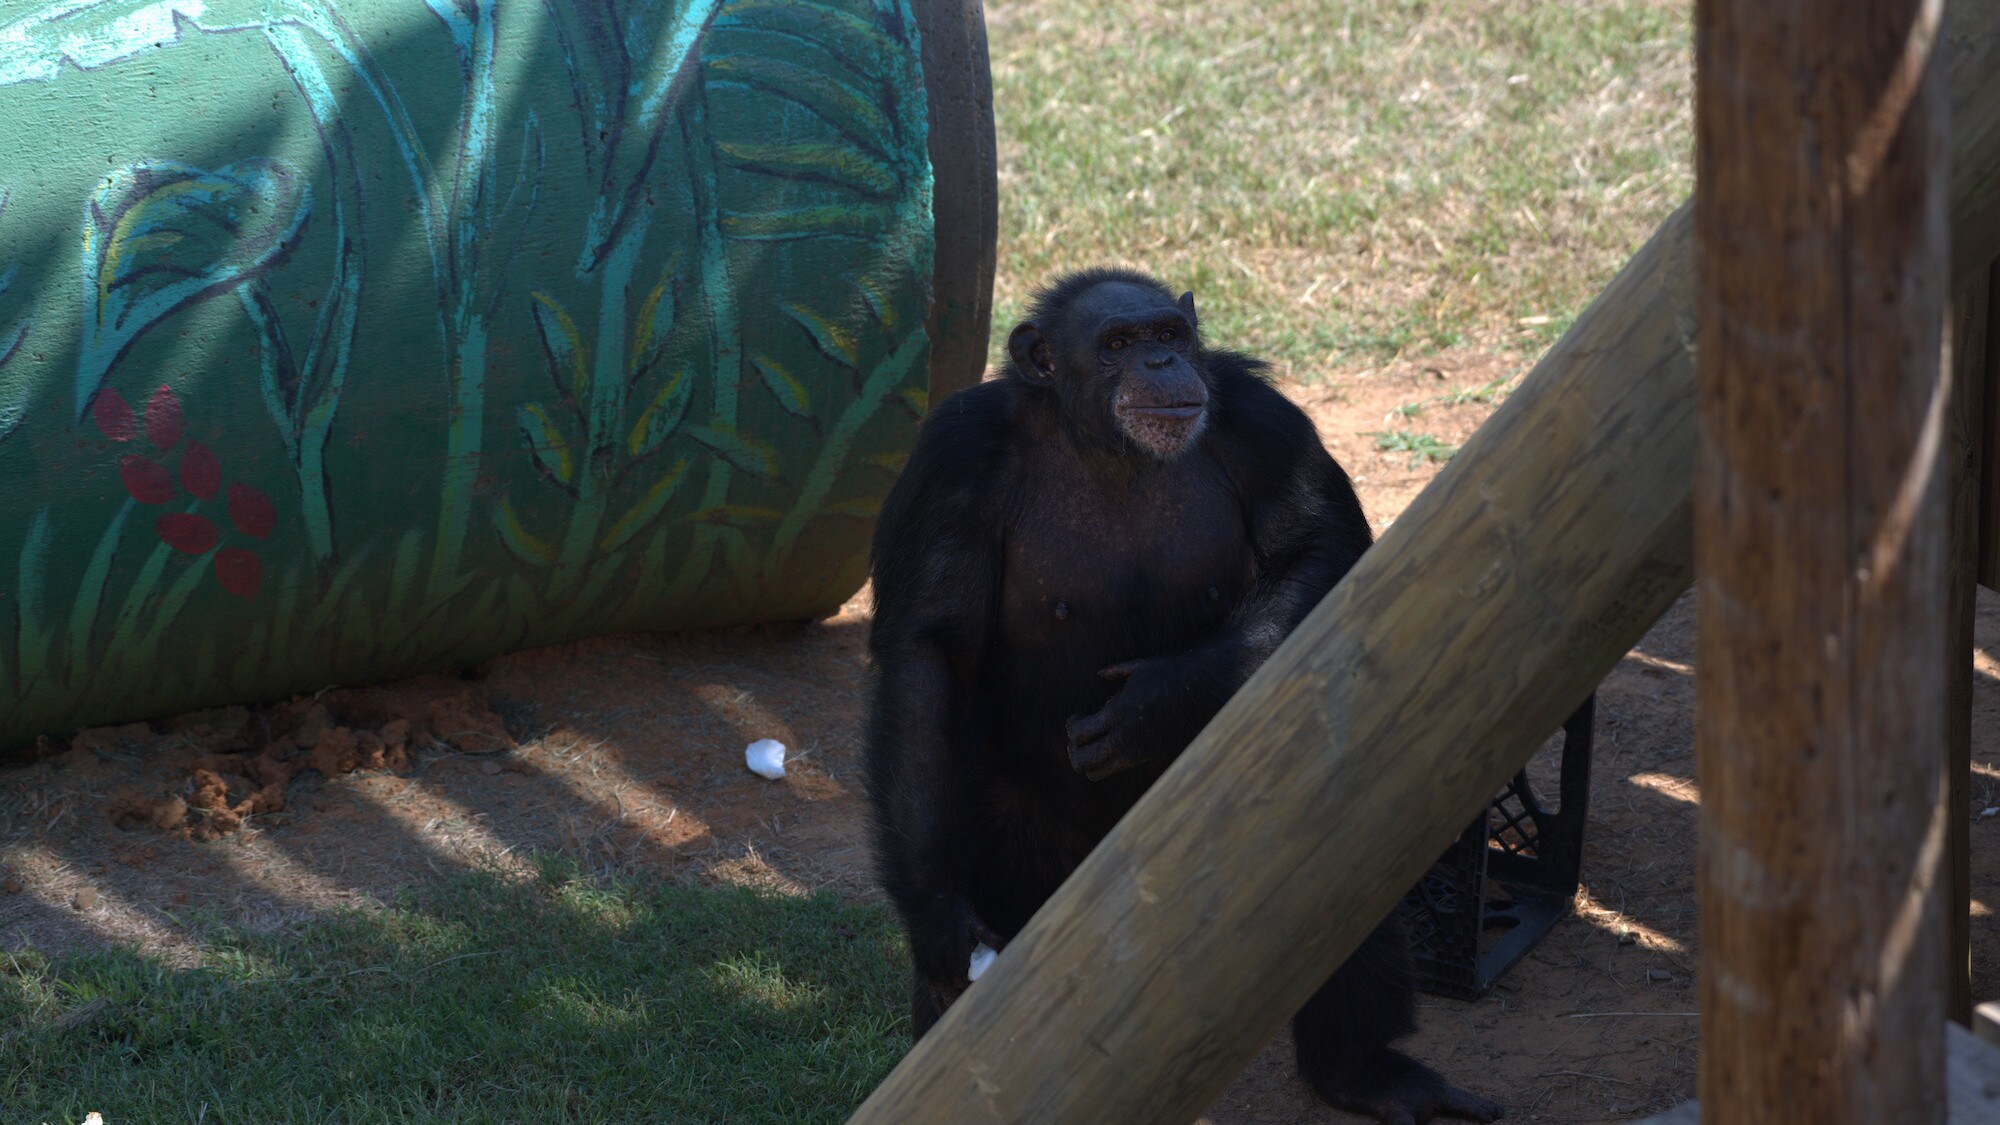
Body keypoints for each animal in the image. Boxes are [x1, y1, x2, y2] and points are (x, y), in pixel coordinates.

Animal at [860, 266, 1504, 1112]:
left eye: (1168, 333)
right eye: (1116, 343)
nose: (1162, 363)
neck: (1103, 445)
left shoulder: (1269, 427)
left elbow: (1320, 550)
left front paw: (1156, 702)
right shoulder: (953, 461)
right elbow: (928, 651)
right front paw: (936, 911)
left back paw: (1369, 1073)